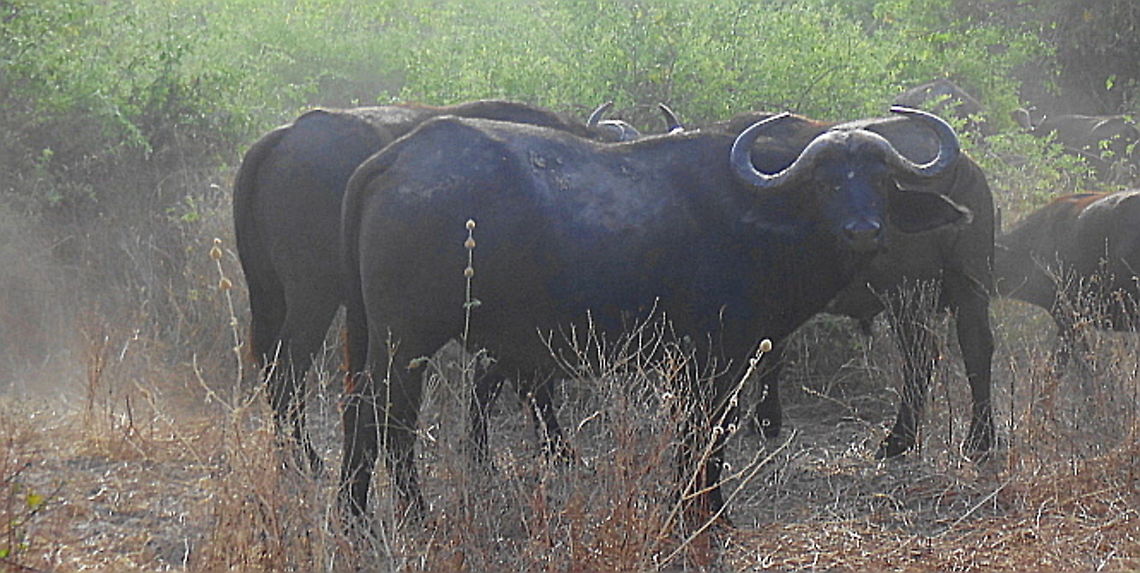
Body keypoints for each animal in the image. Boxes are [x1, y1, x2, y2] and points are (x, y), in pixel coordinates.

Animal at [338, 107, 970, 521]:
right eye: (826, 181)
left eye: (880, 180)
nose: (864, 230)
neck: (757, 217)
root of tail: (392, 159)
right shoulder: (714, 358)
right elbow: (703, 437)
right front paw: (705, 516)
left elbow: (700, 437)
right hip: (407, 339)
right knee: (387, 419)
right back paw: (407, 514)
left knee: (364, 413)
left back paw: (356, 513)